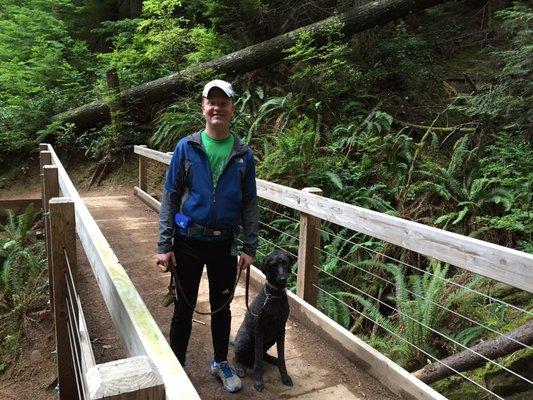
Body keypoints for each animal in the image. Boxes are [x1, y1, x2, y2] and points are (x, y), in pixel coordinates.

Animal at [233, 250, 294, 390]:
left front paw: (285, 377)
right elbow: (258, 360)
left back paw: (273, 359)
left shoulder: (281, 330)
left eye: (285, 262)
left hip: (271, 339)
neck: (275, 295)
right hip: (245, 339)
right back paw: (239, 368)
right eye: (273, 265)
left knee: (264, 355)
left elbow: (282, 357)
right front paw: (258, 381)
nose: (282, 279)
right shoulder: (259, 330)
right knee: (236, 357)